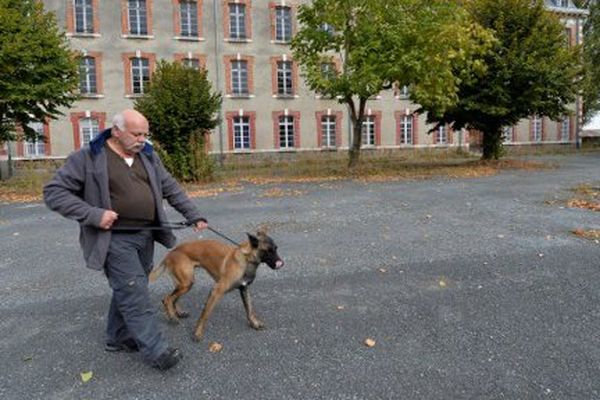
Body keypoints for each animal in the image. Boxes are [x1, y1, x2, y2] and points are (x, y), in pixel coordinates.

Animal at [148, 231, 284, 340]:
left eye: (276, 248)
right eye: (267, 251)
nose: (281, 263)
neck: (246, 259)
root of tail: (171, 252)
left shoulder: (244, 289)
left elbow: (249, 309)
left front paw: (254, 324)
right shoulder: (216, 291)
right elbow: (205, 314)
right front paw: (197, 333)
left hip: (184, 283)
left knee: (173, 298)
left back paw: (178, 313)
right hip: (186, 283)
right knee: (167, 299)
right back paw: (172, 317)